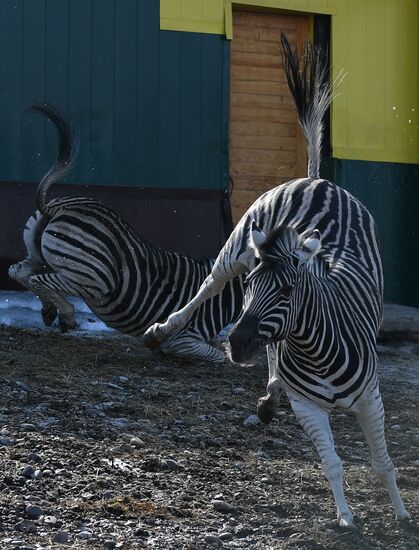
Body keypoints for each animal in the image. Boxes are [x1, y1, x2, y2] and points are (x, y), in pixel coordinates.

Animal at [8, 102, 244, 364]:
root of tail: (58, 207)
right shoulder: (184, 339)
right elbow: (222, 356)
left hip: (45, 257)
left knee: (18, 272)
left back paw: (49, 310)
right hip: (91, 278)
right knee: (36, 279)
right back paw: (67, 315)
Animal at [144, 33, 410, 528]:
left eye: (287, 291)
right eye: (249, 289)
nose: (236, 345)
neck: (318, 350)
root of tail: (319, 179)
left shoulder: (372, 399)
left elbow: (383, 461)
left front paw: (402, 514)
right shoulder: (309, 408)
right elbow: (332, 463)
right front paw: (346, 520)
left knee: (264, 341)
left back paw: (268, 392)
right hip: (238, 244)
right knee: (209, 285)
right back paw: (161, 332)